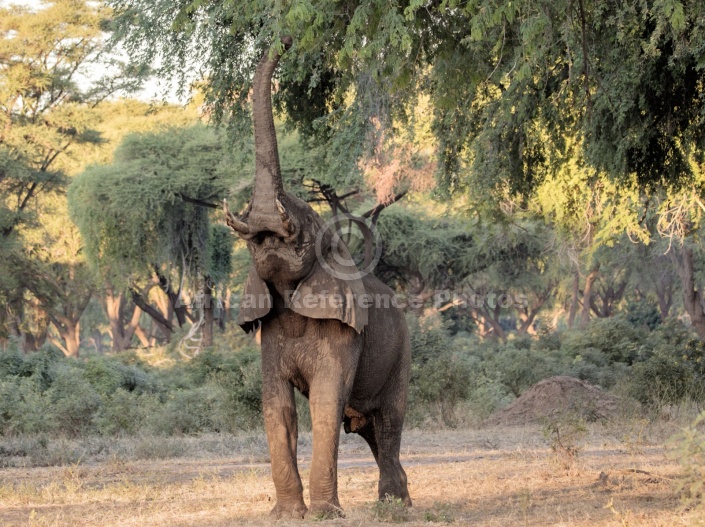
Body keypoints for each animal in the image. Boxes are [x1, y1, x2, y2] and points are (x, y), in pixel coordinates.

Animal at [224, 37, 412, 520]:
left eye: (303, 233)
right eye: (250, 245)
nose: (287, 37)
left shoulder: (344, 331)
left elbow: (326, 402)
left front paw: (326, 514)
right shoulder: (269, 331)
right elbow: (276, 407)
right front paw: (288, 515)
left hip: (402, 351)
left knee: (390, 422)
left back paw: (394, 506)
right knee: (368, 429)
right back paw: (400, 498)